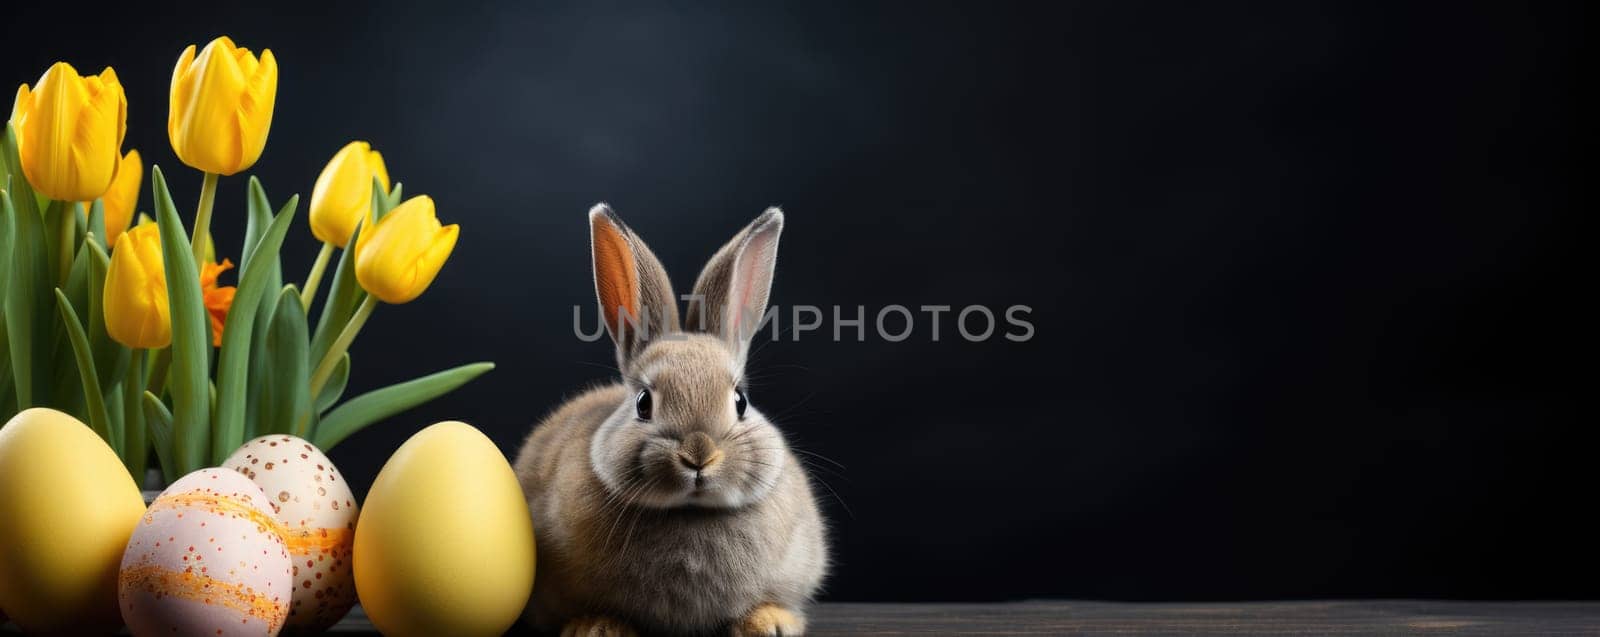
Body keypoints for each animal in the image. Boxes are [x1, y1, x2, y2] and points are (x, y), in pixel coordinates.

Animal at [515, 204, 838, 637]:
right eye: (643, 403)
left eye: (741, 401)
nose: (699, 454)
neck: (690, 511)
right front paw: (596, 626)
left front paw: (769, 623)